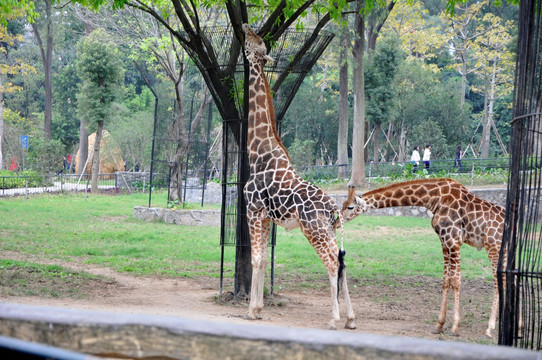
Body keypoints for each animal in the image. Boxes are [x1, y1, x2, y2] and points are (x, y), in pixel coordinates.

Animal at [242, 23, 356, 330]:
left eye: (254, 40)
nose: (244, 26)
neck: (257, 152)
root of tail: (333, 208)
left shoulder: (252, 210)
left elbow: (255, 259)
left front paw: (250, 311)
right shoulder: (265, 217)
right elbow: (263, 260)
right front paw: (258, 308)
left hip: (313, 230)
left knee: (332, 263)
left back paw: (334, 319)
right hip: (327, 230)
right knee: (342, 263)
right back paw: (351, 319)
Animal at [342, 178, 508, 338]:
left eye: (350, 207)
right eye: (342, 205)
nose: (338, 220)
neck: (434, 198)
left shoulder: (453, 240)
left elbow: (455, 281)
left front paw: (454, 327)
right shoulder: (444, 242)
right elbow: (445, 281)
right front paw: (439, 325)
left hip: (493, 247)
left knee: (499, 282)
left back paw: (489, 329)